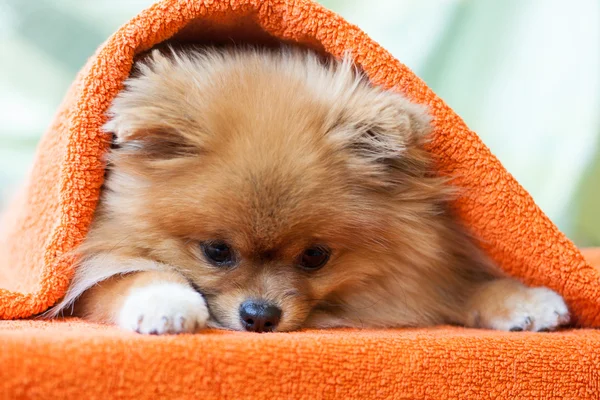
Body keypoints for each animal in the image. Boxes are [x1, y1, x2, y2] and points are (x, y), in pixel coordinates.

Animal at [47, 46, 568, 334]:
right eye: (216, 251)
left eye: (316, 257)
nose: (260, 316)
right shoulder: (85, 268)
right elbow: (128, 274)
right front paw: (165, 301)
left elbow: (465, 286)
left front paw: (522, 299)